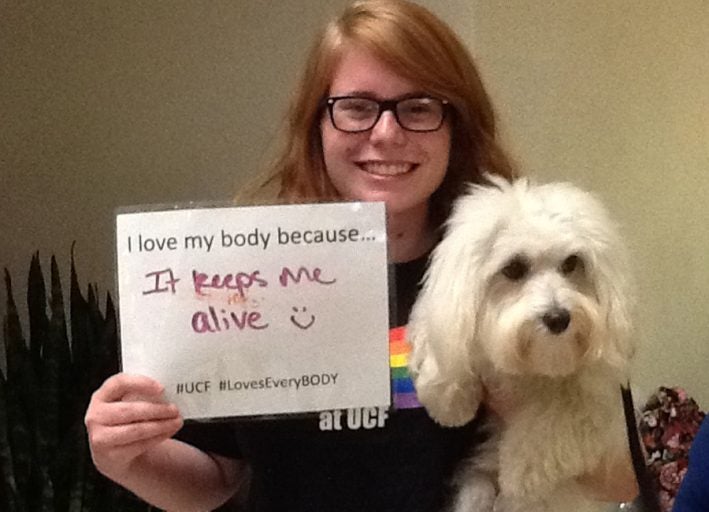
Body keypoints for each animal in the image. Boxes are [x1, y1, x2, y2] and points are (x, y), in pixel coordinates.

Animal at [406, 177, 632, 512]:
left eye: (572, 263)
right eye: (513, 268)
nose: (558, 318)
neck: (536, 369)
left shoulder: (602, 405)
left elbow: (561, 414)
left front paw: (520, 473)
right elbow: (444, 353)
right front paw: (447, 394)